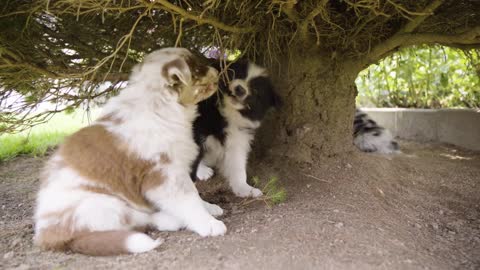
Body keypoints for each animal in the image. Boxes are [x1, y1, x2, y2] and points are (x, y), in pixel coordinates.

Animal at [33, 47, 225, 256]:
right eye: (197, 68)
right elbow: (188, 201)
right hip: (102, 204)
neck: (158, 102)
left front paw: (209, 208)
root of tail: (47, 236)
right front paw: (209, 224)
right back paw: (171, 220)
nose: (218, 70)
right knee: (134, 221)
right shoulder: (164, 175)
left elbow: (194, 194)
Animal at [191, 60, 282, 197]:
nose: (240, 88)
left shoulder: (238, 137)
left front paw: (245, 189)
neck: (226, 115)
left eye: (256, 91)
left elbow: (238, 165)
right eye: (237, 74)